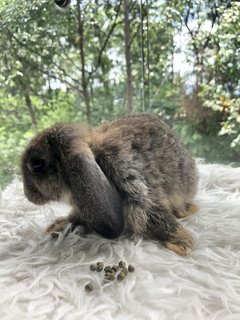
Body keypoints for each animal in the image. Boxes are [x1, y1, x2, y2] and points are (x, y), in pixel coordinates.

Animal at [20, 112, 198, 255]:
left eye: (37, 164)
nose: (28, 195)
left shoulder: (136, 190)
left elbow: (160, 219)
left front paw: (181, 244)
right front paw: (58, 226)